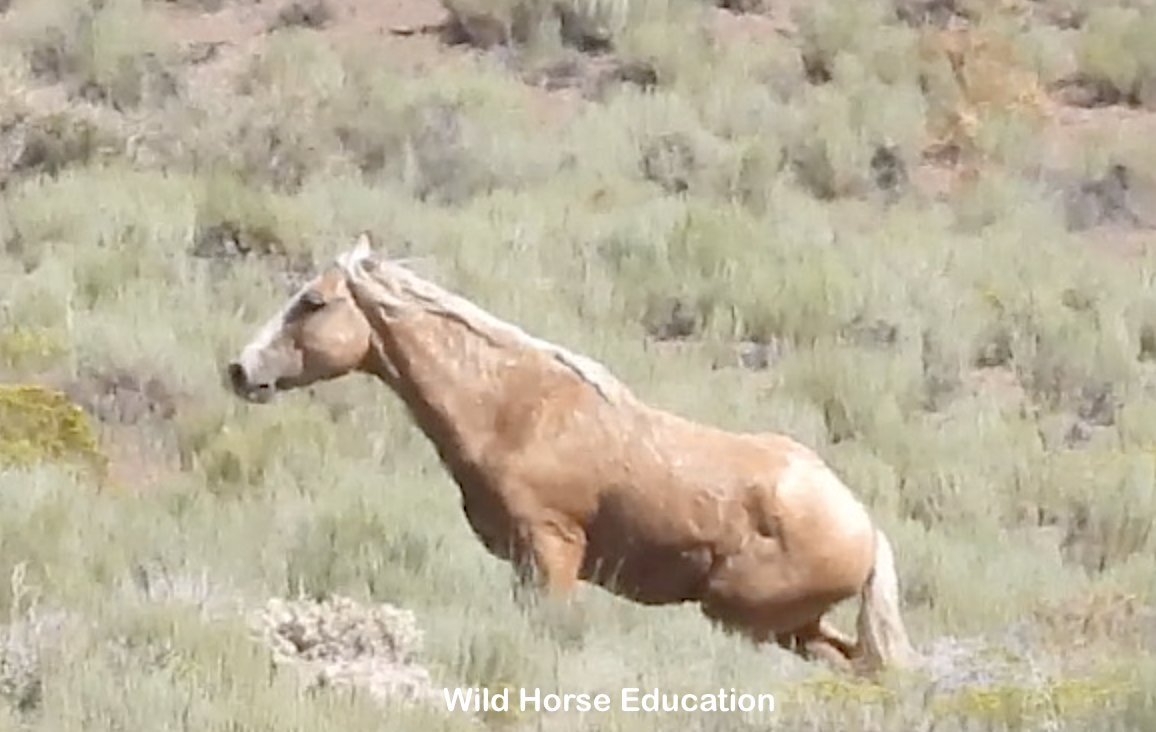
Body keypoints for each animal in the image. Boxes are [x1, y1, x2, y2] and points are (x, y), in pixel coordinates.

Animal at [225, 232, 919, 674]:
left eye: (313, 301)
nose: (241, 370)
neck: (517, 411)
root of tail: (865, 526)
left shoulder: (551, 555)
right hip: (789, 628)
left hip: (750, 621)